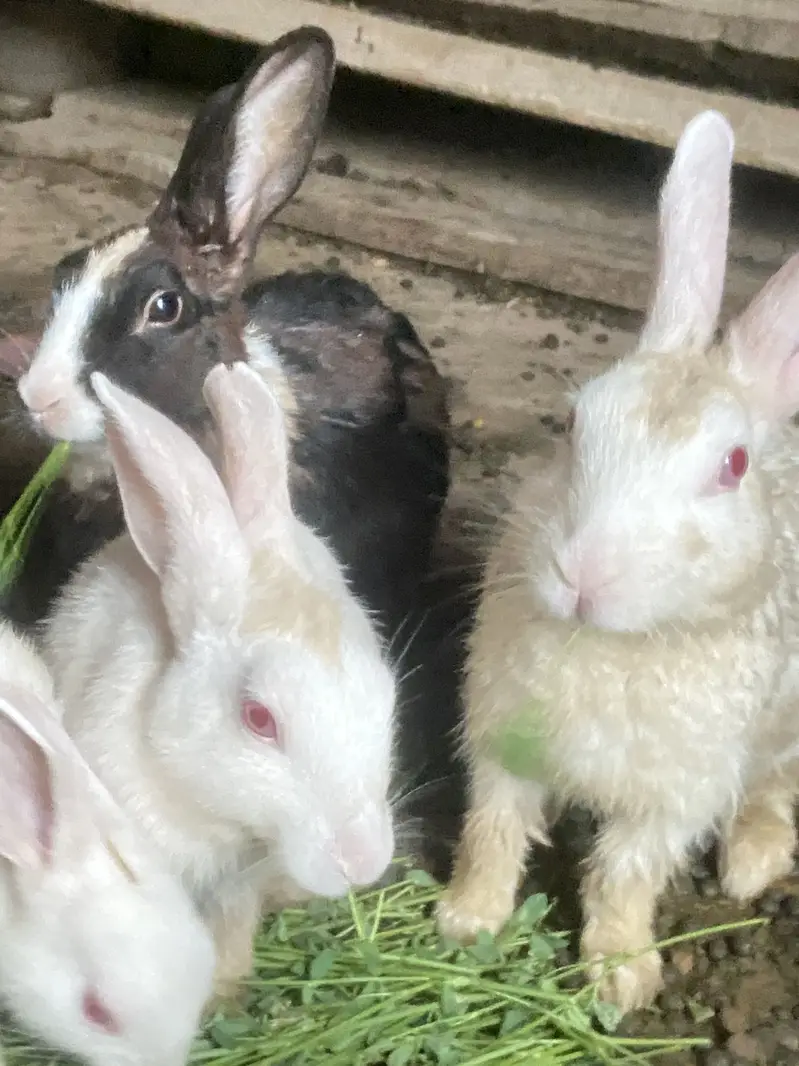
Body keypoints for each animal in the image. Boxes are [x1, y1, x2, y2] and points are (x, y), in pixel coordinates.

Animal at [435, 109, 799, 1016]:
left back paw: (748, 866)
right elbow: (492, 833)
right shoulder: (499, 747)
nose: (583, 575)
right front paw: (465, 922)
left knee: (772, 789)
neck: (609, 646)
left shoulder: (670, 797)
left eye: (731, 466)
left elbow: (625, 875)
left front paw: (619, 978)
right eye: (571, 423)